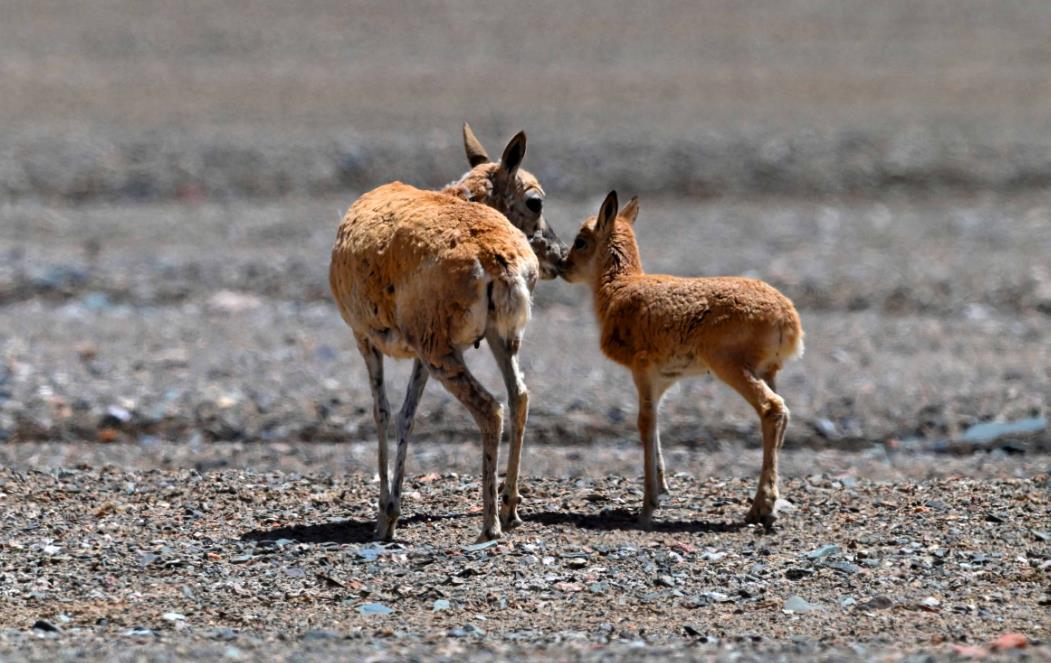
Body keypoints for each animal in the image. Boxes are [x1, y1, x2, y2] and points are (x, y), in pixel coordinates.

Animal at [332, 125, 571, 546]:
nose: (561, 255)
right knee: (519, 395)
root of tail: (494, 255)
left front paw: (384, 516)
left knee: (490, 407)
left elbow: (382, 412)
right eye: (536, 202)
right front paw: (392, 510)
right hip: (493, 339)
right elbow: (407, 414)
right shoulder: (417, 355)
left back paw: (490, 524)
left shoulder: (365, 338)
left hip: (443, 353)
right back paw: (510, 509)